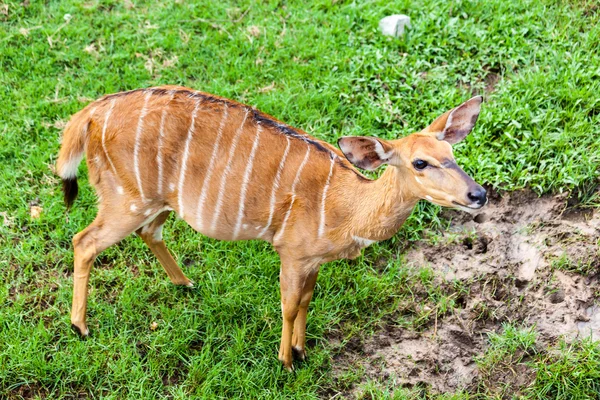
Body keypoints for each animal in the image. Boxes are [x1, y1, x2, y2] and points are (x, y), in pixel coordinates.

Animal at [55, 86, 488, 370]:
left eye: (451, 152)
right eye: (419, 163)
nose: (479, 194)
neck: (346, 205)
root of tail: (90, 114)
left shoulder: (312, 260)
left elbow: (307, 300)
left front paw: (301, 350)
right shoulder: (292, 252)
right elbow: (289, 304)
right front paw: (286, 361)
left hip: (158, 202)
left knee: (149, 232)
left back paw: (186, 283)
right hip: (126, 200)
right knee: (84, 241)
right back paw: (80, 327)